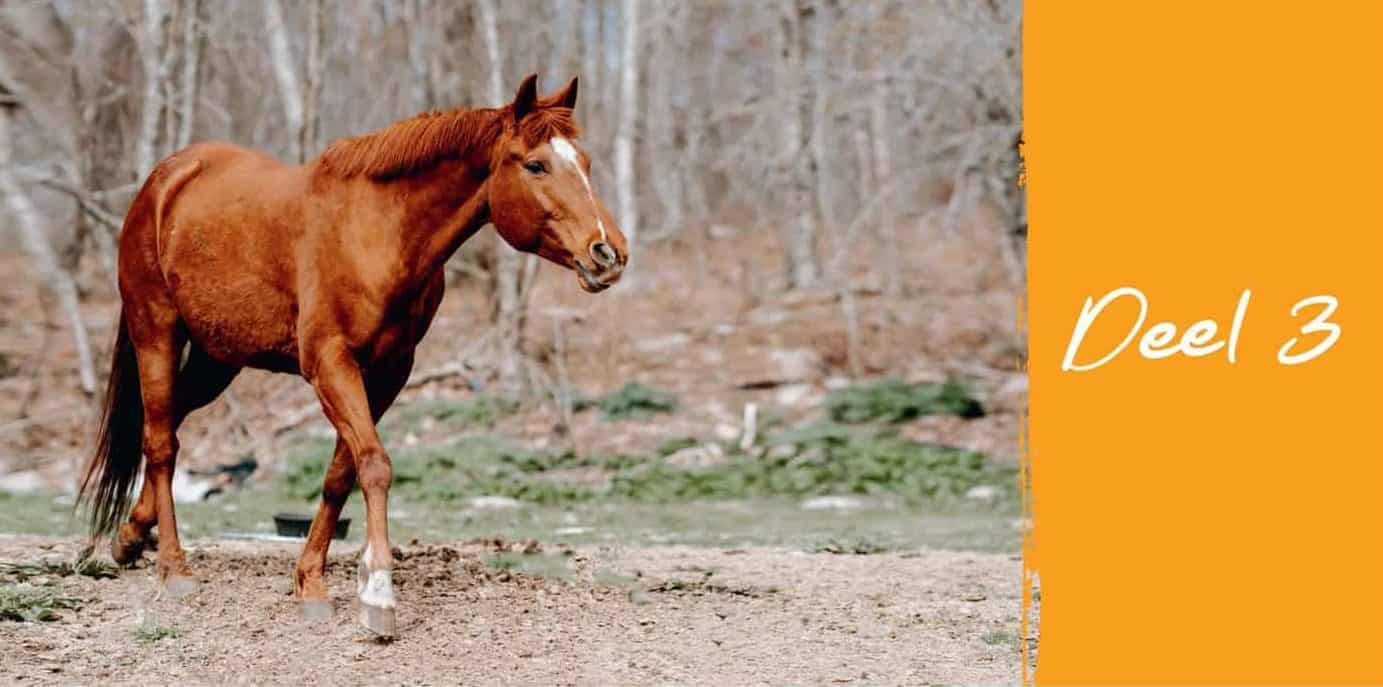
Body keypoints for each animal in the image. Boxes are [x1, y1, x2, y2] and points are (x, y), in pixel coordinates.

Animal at [76, 74, 627, 636]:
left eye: (583, 162)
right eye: (536, 165)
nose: (608, 253)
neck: (378, 233)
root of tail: (164, 180)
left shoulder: (388, 372)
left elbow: (342, 473)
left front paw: (311, 581)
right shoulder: (330, 364)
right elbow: (374, 464)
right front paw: (379, 592)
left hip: (217, 358)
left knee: (168, 422)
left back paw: (130, 537)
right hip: (157, 333)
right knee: (161, 441)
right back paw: (173, 567)